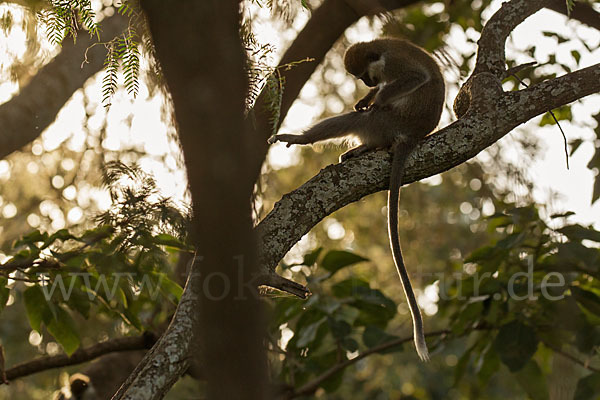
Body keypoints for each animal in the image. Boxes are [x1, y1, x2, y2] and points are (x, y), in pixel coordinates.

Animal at [268, 38, 446, 362]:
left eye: (364, 74)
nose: (367, 84)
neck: (381, 48)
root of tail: (412, 136)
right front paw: (368, 96)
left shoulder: (395, 65)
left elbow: (415, 78)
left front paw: (376, 97)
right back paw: (363, 148)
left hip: (385, 122)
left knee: (363, 119)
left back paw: (306, 138)